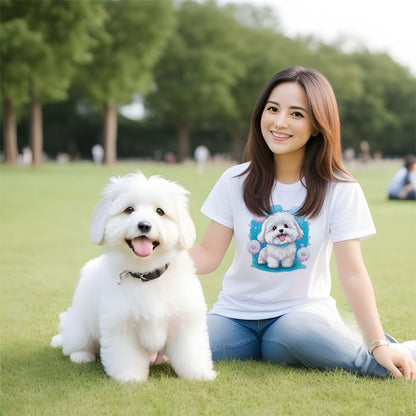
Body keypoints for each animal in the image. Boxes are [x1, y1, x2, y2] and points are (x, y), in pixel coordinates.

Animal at [50, 171, 216, 382]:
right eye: (129, 210)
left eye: (160, 211)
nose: (144, 225)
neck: (146, 274)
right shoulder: (121, 324)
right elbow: (126, 355)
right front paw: (129, 377)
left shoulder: (185, 321)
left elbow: (190, 351)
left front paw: (198, 373)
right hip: (80, 326)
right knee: (76, 344)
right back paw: (81, 355)